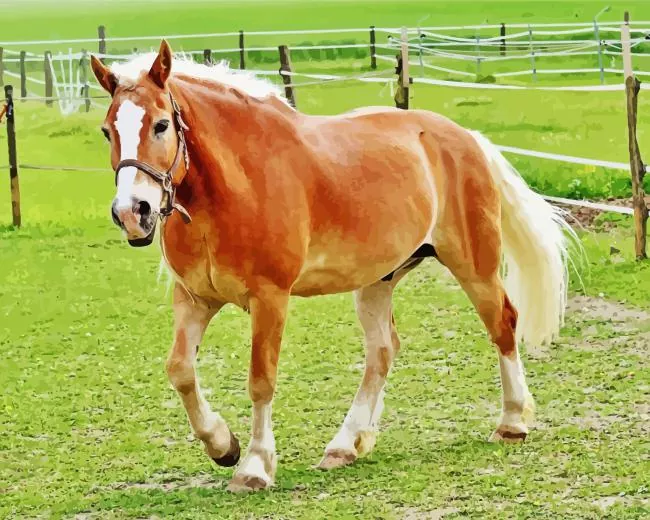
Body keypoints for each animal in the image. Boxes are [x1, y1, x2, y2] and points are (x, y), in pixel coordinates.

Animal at [90, 40, 574, 492]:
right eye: (107, 131)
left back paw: (512, 422)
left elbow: (261, 379)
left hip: (475, 266)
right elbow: (180, 371)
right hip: (379, 279)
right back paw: (346, 445)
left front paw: (254, 467)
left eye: (161, 124)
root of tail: (467, 138)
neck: (229, 188)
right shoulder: (194, 298)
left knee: (502, 324)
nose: (133, 212)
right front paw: (223, 445)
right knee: (383, 351)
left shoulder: (270, 298)